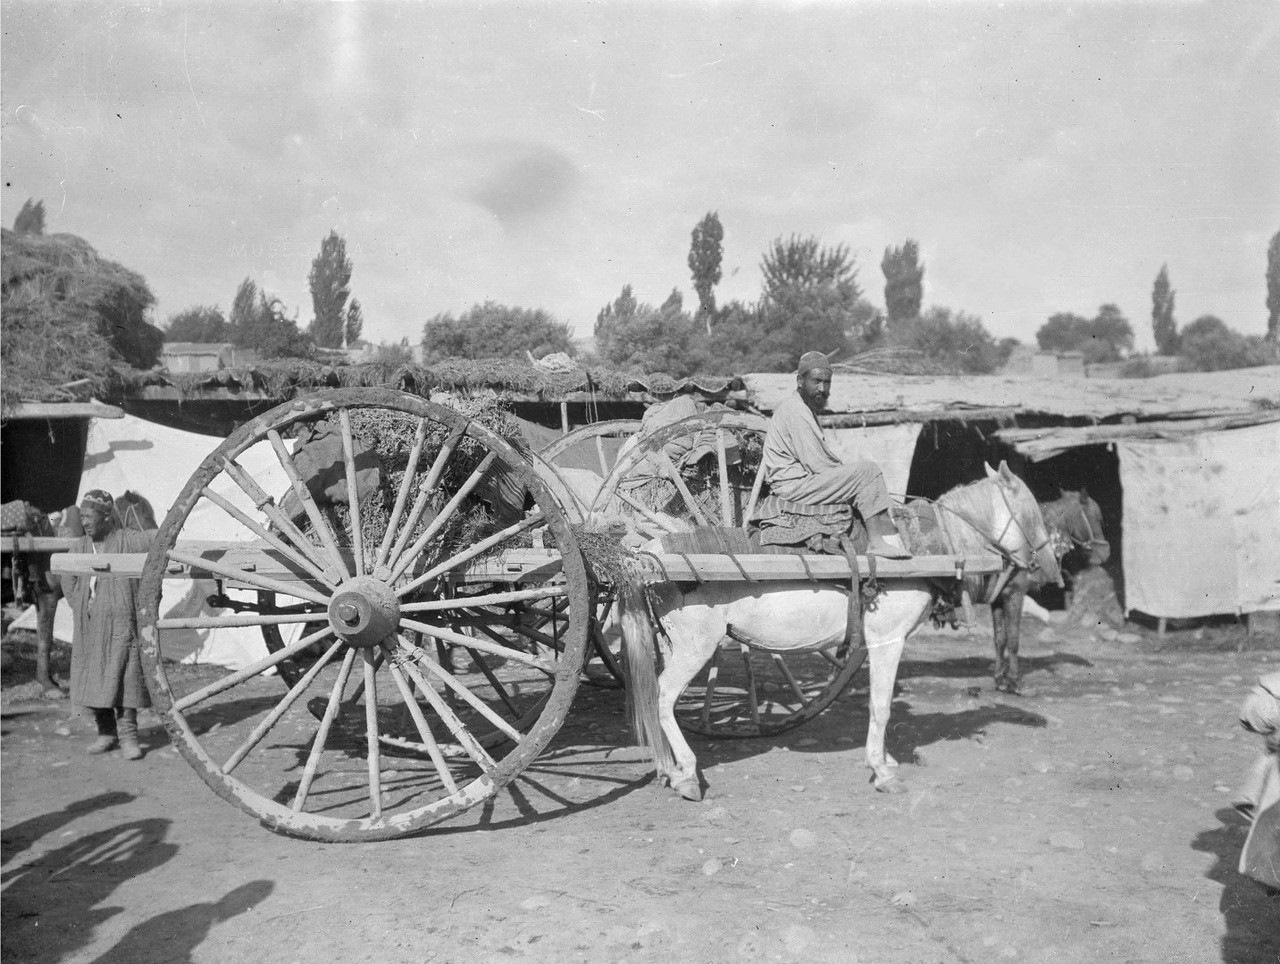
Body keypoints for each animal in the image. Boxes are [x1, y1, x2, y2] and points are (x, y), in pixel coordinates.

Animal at [619, 458, 1059, 798]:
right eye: (1032, 510)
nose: (1052, 572)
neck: (922, 547)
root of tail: (646, 555)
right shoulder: (888, 640)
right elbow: (881, 706)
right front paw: (882, 771)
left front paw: (885, 761)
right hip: (696, 646)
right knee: (662, 697)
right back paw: (686, 774)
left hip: (673, 643)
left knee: (653, 696)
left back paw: (668, 769)